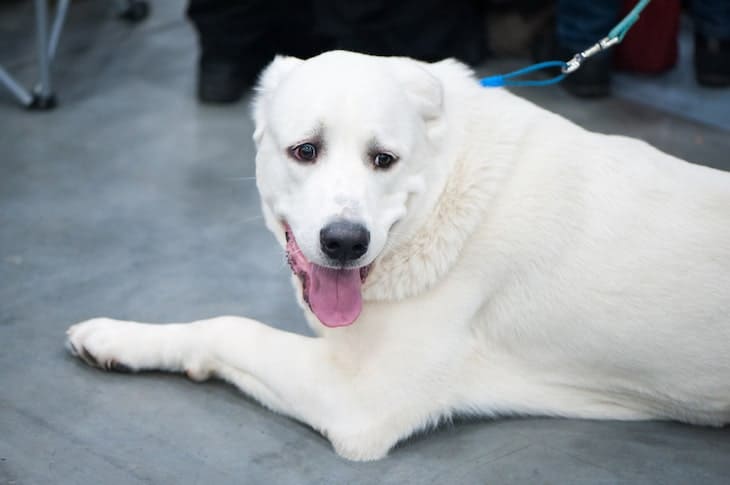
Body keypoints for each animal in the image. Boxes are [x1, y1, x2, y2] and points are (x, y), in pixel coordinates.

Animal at [67, 51, 728, 460]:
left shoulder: (359, 400)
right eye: (305, 151)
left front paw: (117, 338)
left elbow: (229, 326)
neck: (443, 188)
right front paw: (120, 337)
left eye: (383, 159)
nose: (345, 241)